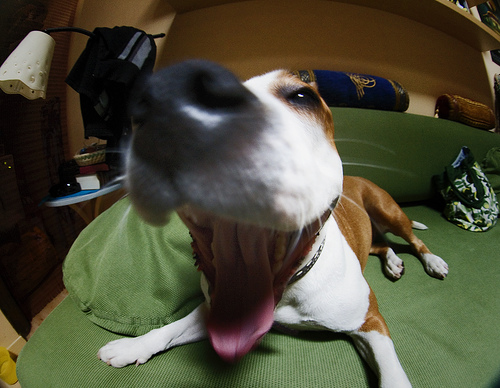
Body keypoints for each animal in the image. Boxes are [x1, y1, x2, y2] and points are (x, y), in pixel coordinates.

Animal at [97, 59, 450, 386]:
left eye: (303, 95)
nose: (177, 121)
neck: (290, 286)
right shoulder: (217, 310)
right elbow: (171, 328)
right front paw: (133, 346)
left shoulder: (371, 322)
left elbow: (392, 374)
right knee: (382, 244)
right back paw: (392, 262)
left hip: (387, 210)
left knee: (411, 239)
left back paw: (432, 261)